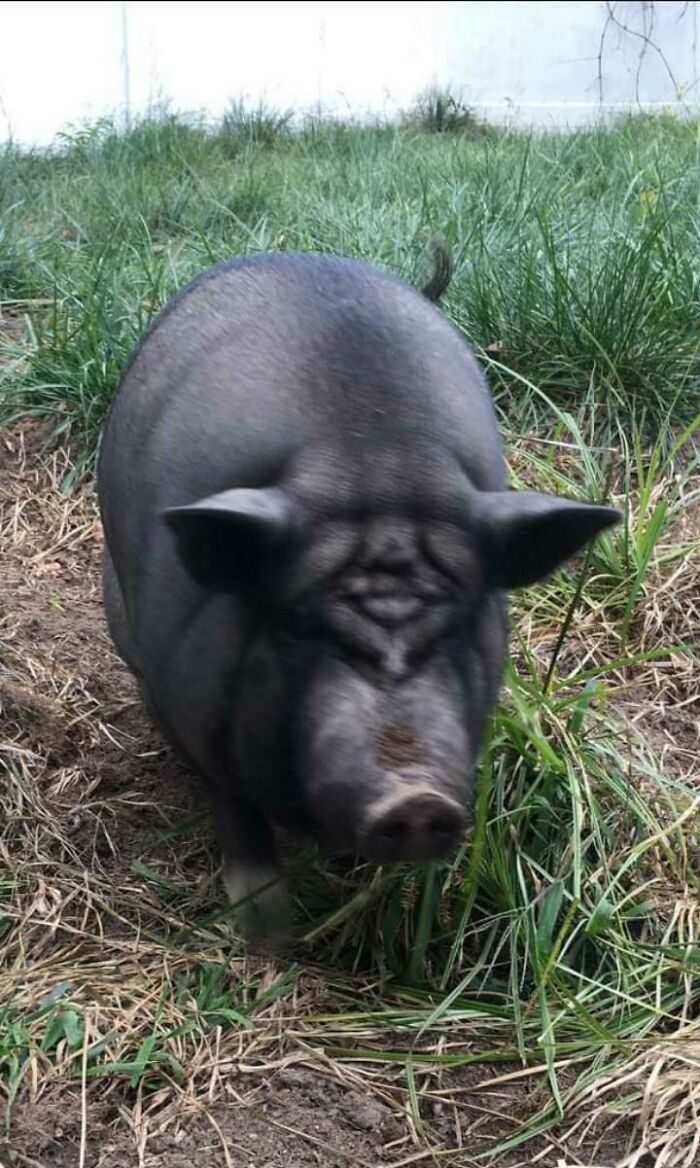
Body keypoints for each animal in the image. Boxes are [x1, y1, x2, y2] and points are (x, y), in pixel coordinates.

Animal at [97, 248, 619, 937]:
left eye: (460, 621)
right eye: (298, 627)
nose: (415, 799)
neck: (375, 468)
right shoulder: (188, 702)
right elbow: (233, 807)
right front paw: (266, 928)